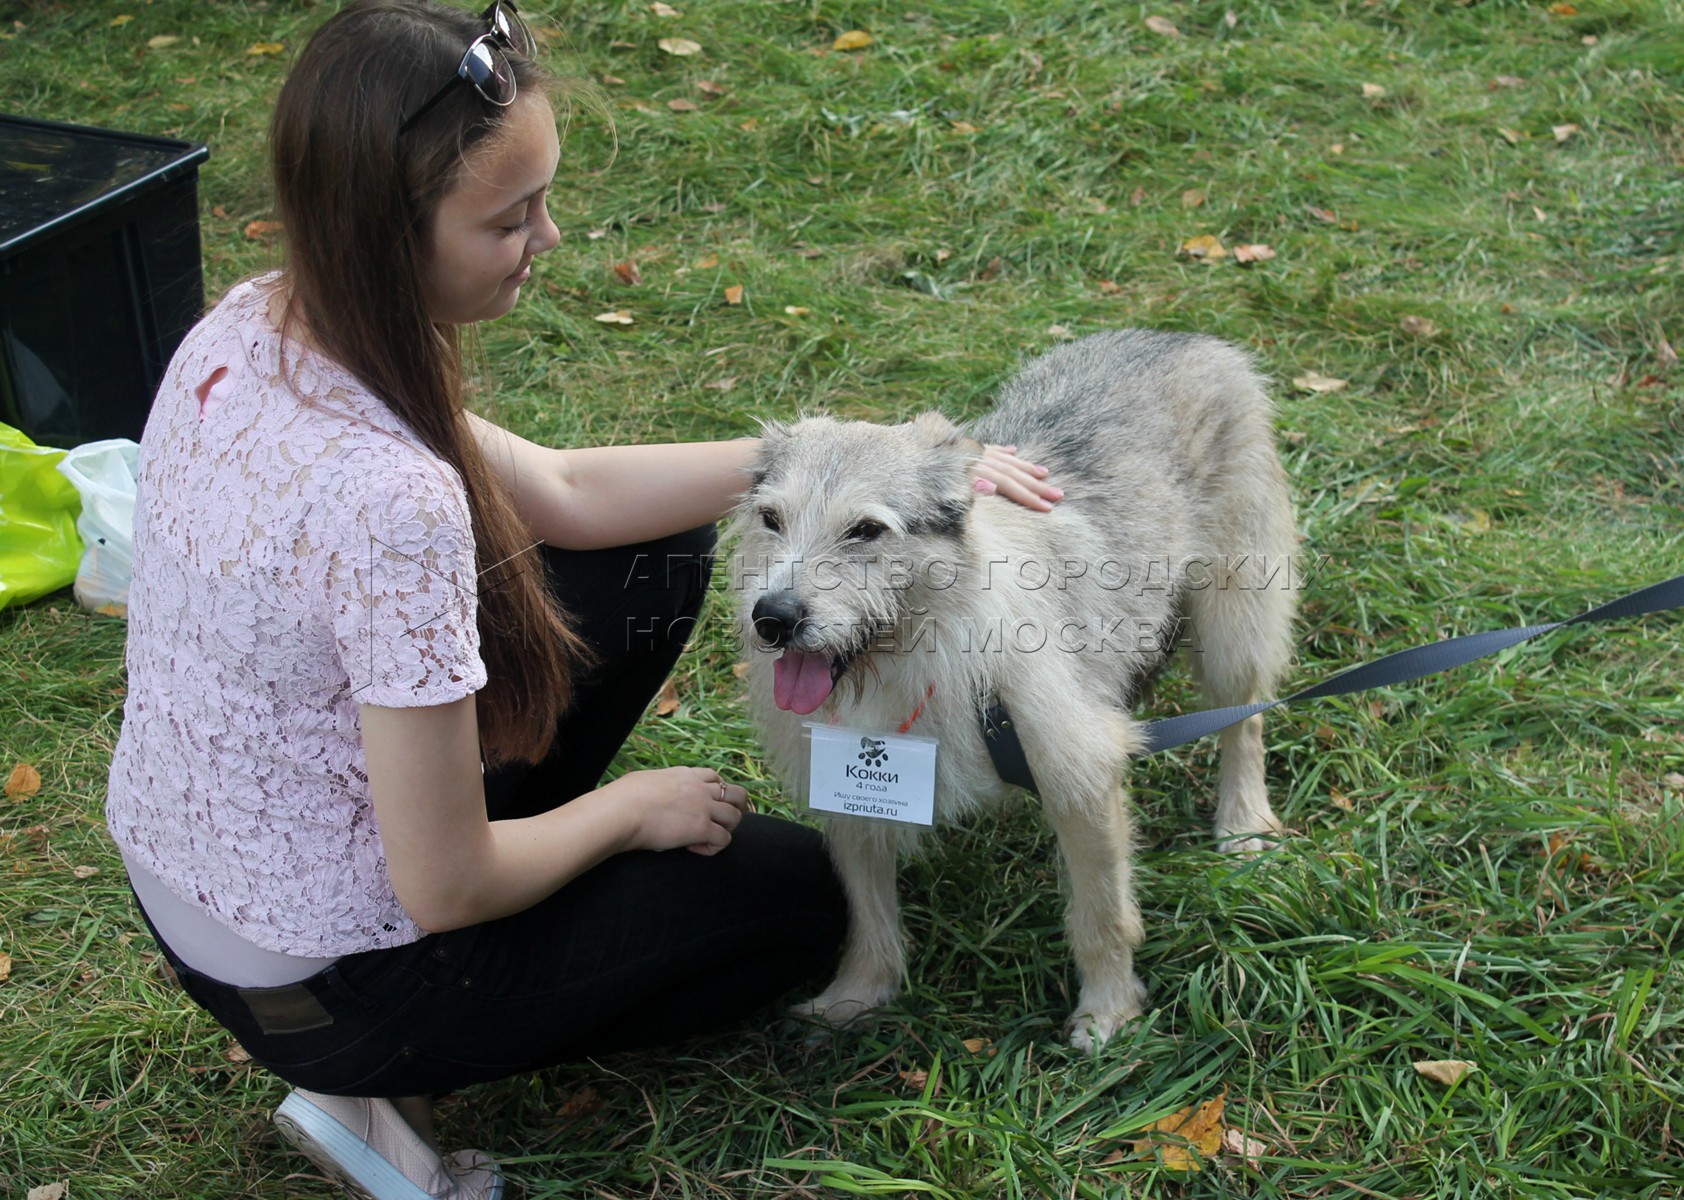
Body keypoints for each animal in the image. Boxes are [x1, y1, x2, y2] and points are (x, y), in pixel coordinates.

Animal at [730, 328, 1293, 1050]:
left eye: (866, 530)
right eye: (771, 519)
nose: (774, 618)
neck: (918, 653)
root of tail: (1183, 336)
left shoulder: (1080, 774)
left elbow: (1101, 917)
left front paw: (1108, 1011)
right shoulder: (845, 791)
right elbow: (868, 913)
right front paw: (856, 997)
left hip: (1233, 623)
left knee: (1245, 720)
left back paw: (1244, 823)